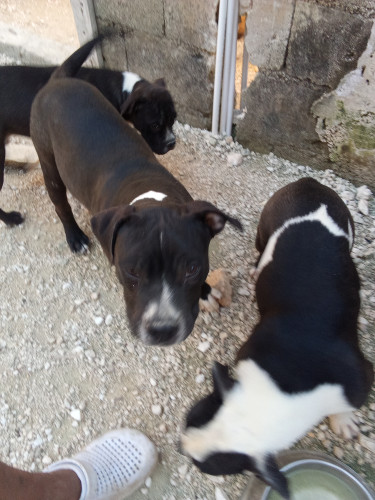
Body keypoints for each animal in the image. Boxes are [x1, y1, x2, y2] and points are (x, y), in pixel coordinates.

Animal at [28, 40, 241, 348]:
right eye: (131, 271)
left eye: (192, 269)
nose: (162, 330)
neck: (150, 196)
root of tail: (58, 80)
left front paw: (205, 291)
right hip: (49, 163)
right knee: (60, 204)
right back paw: (75, 237)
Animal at [181, 179, 374, 496]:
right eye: (188, 420)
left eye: (206, 467)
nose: (180, 446)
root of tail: (310, 183)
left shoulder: (359, 380)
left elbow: (346, 403)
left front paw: (343, 420)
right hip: (264, 231)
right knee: (262, 250)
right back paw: (256, 268)